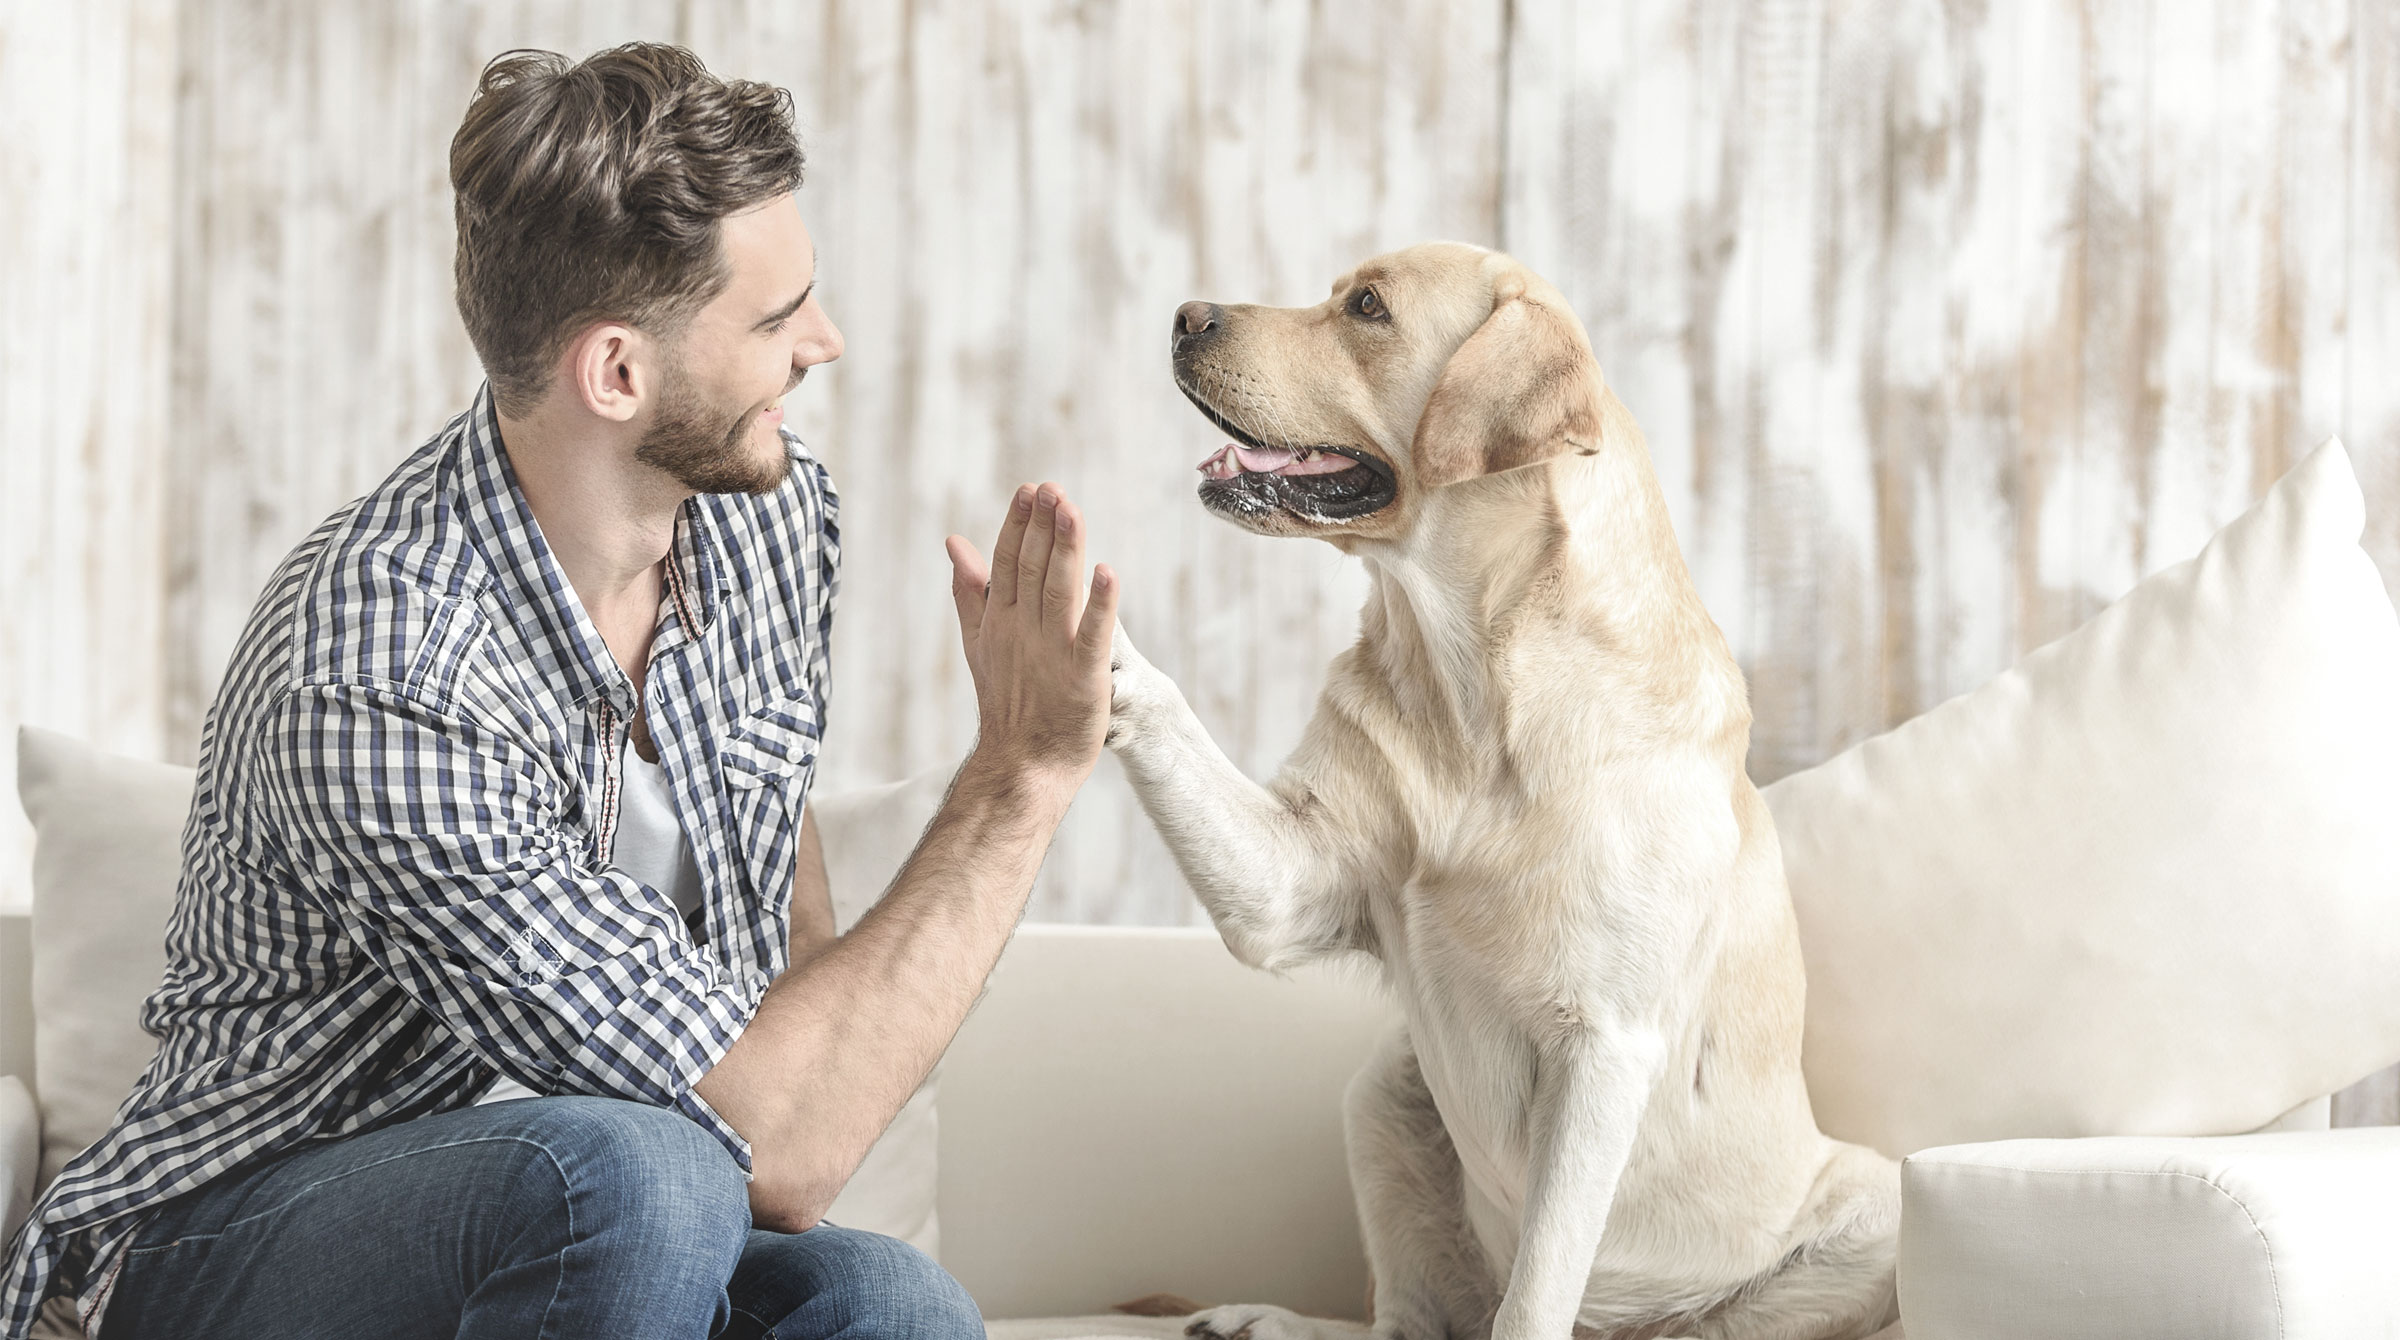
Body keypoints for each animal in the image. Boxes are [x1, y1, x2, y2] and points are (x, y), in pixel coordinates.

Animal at [1099, 243, 1891, 1340]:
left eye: (1368, 307)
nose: (1184, 315)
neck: (1474, 684)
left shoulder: (1604, 1046)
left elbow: (1537, 1291)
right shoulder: (1287, 885)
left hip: (1870, 1211)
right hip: (1385, 1092)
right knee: (1407, 1322)